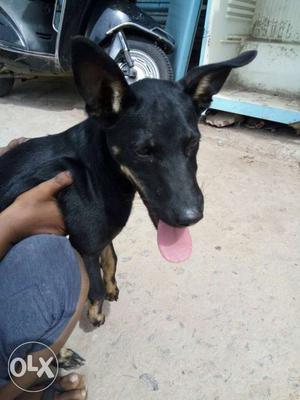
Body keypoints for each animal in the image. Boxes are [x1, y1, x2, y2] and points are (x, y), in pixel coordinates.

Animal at [0, 36, 258, 326]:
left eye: (194, 142)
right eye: (143, 151)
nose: (191, 217)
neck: (99, 169)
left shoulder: (103, 234)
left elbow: (111, 257)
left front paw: (112, 287)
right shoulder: (85, 245)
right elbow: (94, 286)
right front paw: (96, 313)